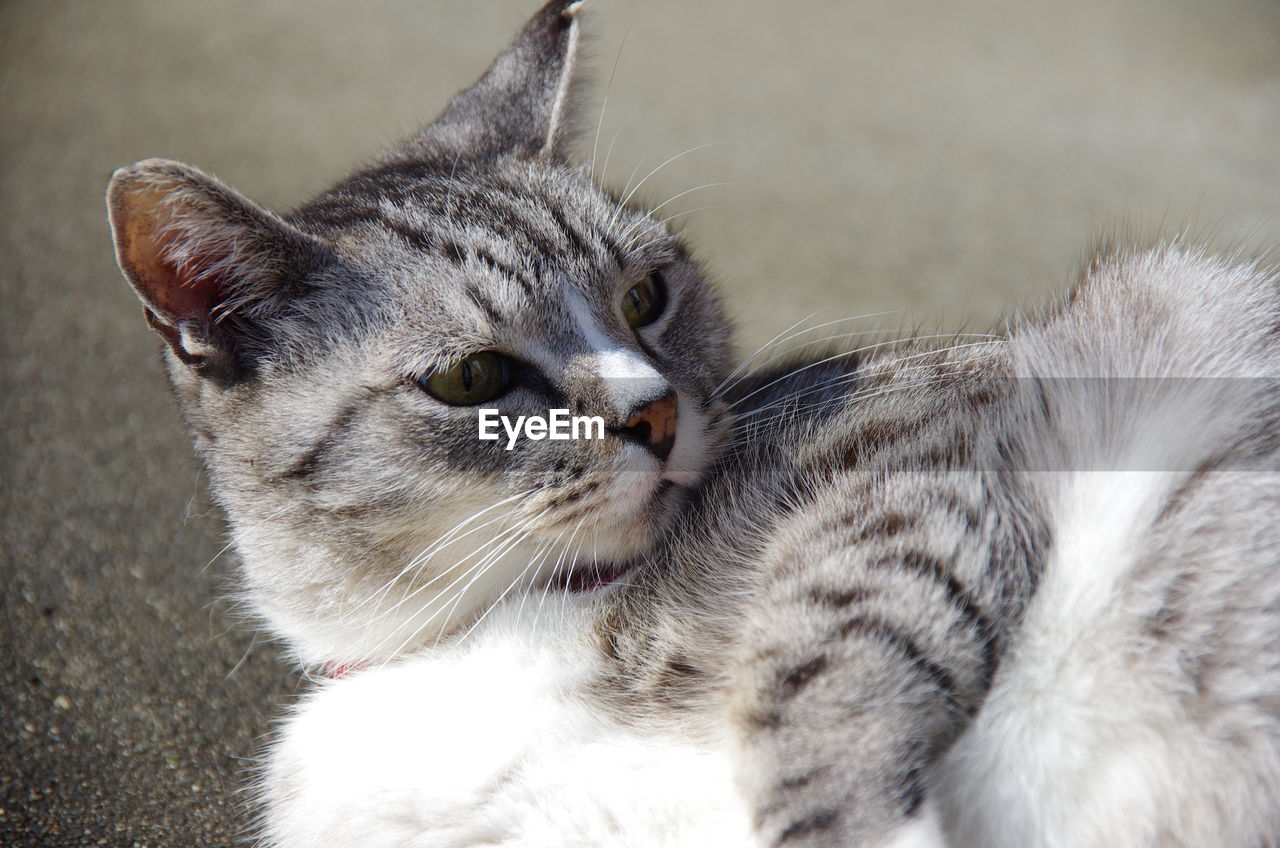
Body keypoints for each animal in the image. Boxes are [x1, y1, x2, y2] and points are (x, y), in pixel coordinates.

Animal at [110, 1, 1280, 848]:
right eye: (472, 376)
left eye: (644, 296)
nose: (654, 408)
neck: (478, 628)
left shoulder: (928, 447)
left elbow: (826, 652)